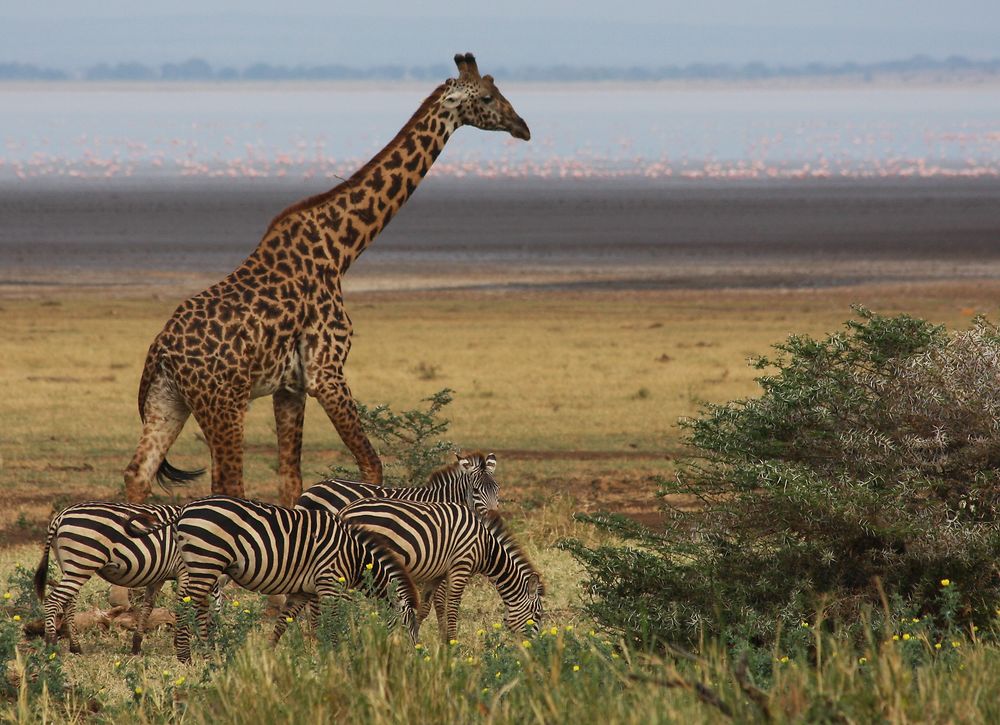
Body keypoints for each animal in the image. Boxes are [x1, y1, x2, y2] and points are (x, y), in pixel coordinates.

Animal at [34, 500, 186, 652]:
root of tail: (60, 516)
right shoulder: (183, 571)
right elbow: (182, 606)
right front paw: (180, 642)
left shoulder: (159, 576)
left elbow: (148, 607)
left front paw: (137, 644)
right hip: (81, 565)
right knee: (53, 600)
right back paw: (51, 644)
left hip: (70, 567)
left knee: (68, 603)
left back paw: (75, 647)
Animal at [125, 52, 532, 504]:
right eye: (489, 96)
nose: (523, 127)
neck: (340, 249)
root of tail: (160, 351)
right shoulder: (327, 371)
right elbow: (371, 466)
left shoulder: (291, 386)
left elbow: (291, 480)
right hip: (223, 404)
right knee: (227, 484)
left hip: (169, 402)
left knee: (138, 473)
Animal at [126, 494, 422, 660]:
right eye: (408, 625)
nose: (417, 657)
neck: (354, 555)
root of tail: (185, 508)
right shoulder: (329, 583)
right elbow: (330, 621)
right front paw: (335, 653)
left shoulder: (304, 590)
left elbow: (283, 623)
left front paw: (269, 654)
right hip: (206, 560)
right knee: (185, 606)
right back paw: (185, 656)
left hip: (201, 563)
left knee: (196, 606)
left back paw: (207, 651)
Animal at [336, 500, 544, 640]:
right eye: (537, 615)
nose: (535, 648)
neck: (486, 547)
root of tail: (344, 511)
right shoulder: (461, 566)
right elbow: (452, 607)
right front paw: (452, 643)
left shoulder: (437, 575)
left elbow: (424, 608)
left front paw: (419, 639)